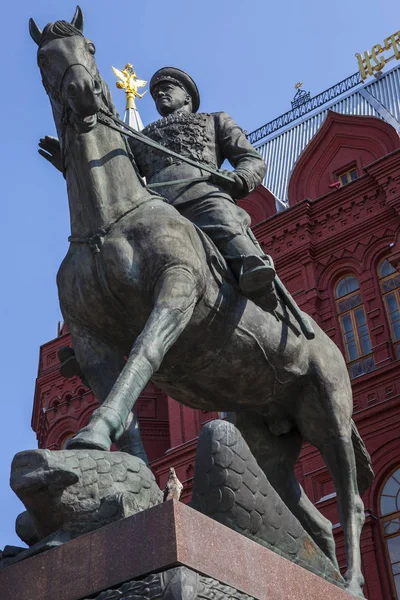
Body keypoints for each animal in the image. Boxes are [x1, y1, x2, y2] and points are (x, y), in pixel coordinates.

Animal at [30, 8, 372, 596]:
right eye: (43, 58)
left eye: (89, 47)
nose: (83, 93)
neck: (108, 221)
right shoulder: (90, 340)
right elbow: (134, 417)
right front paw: (132, 486)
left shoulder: (178, 289)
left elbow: (144, 356)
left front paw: (93, 435)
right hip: (268, 437)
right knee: (313, 517)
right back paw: (315, 571)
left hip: (329, 413)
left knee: (350, 502)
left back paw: (349, 584)